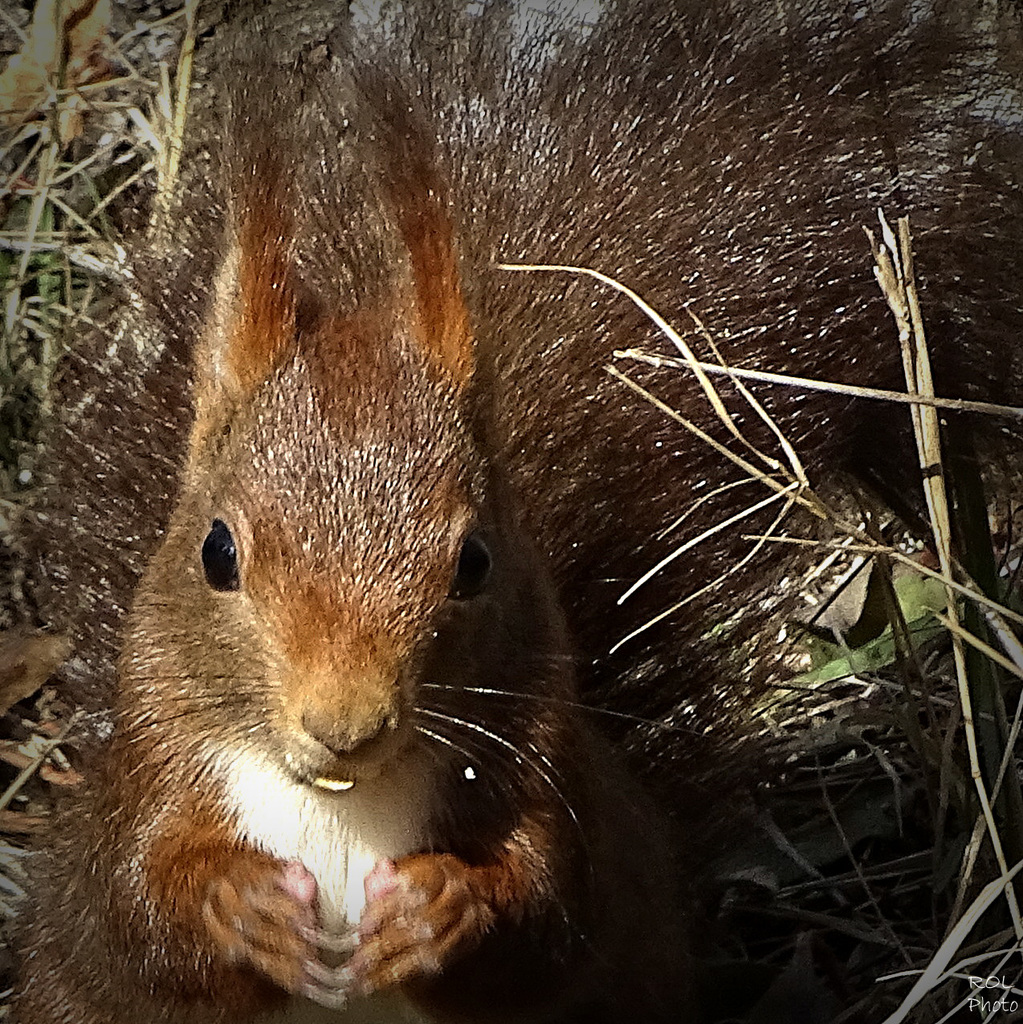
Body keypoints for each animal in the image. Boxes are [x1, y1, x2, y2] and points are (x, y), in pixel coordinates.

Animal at [12, 2, 1023, 1024]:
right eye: (216, 553)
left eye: (474, 562)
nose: (344, 724)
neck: (337, 802)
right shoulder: (139, 795)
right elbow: (135, 917)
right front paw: (239, 905)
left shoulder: (555, 785)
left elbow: (551, 911)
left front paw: (444, 909)